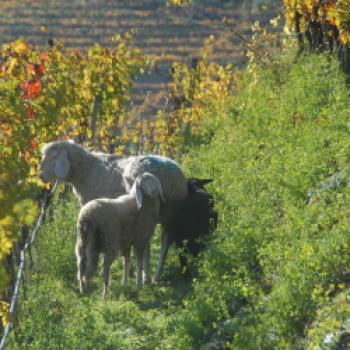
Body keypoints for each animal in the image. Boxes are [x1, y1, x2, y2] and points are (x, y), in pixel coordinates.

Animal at [39, 141, 189, 280]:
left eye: (53, 157)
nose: (40, 175)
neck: (87, 170)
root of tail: (171, 179)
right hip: (170, 213)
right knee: (165, 241)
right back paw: (156, 276)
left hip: (148, 208)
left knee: (147, 242)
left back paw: (145, 277)